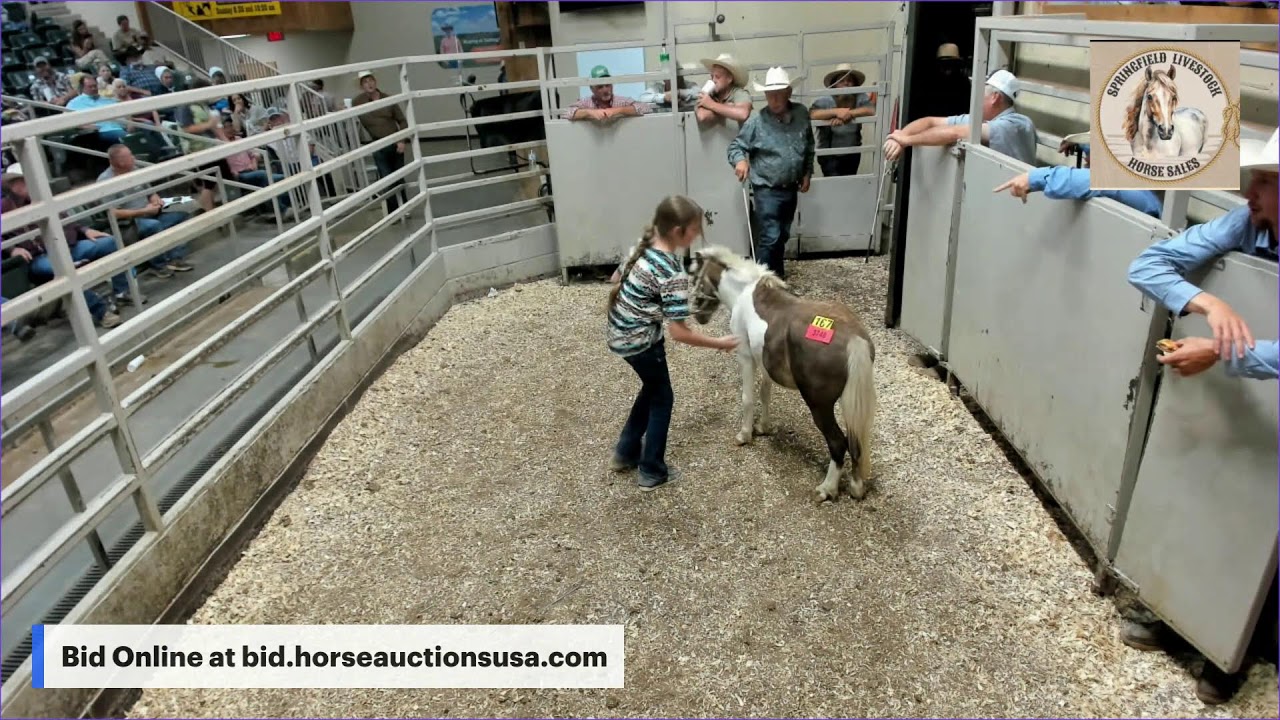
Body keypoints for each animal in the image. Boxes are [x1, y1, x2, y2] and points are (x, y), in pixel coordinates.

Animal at [688, 245, 876, 502]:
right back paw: (856, 487)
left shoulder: (745, 357)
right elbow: (765, 394)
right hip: (850, 402)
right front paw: (763, 427)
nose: (696, 313)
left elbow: (748, 399)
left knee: (838, 443)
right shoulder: (764, 362)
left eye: (693, 276)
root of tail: (853, 338)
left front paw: (744, 435)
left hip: (820, 406)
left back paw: (826, 489)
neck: (744, 294)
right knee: (856, 441)